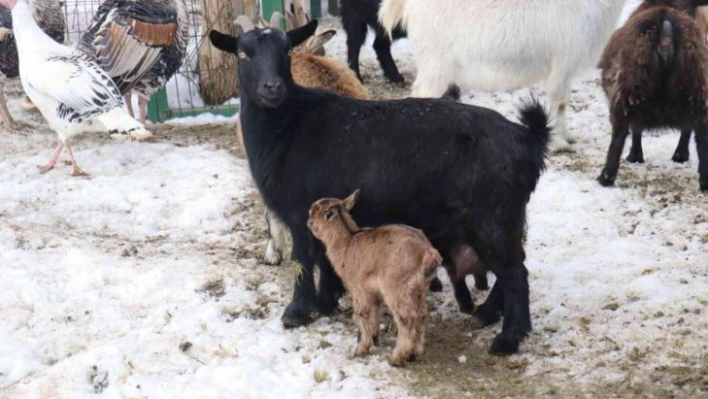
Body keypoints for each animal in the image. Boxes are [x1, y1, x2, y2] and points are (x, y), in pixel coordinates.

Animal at [210, 20, 552, 354]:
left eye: (286, 52)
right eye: (243, 54)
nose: (273, 87)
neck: (289, 124)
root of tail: (527, 138)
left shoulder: (299, 212)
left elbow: (304, 261)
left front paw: (296, 313)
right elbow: (325, 258)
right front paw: (326, 301)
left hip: (491, 216)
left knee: (515, 272)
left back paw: (508, 339)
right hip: (504, 217)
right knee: (512, 265)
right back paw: (487, 314)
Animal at [378, 0, 628, 152]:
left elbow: (563, 102)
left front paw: (567, 136)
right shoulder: (561, 64)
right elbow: (558, 103)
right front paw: (558, 143)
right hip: (435, 61)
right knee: (422, 93)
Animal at [596, 2, 708, 191]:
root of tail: (666, 33)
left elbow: (636, 129)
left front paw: (634, 156)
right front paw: (680, 156)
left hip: (628, 90)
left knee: (619, 135)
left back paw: (606, 177)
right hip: (697, 92)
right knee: (701, 138)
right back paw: (704, 182)